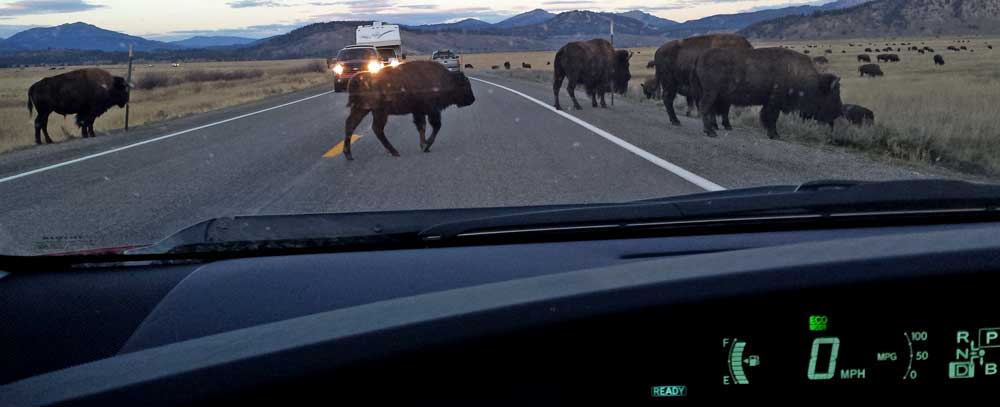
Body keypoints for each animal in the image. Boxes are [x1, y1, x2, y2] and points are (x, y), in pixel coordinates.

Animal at [344, 60, 476, 161]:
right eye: (465, 85)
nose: (472, 99)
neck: (445, 79)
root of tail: (356, 79)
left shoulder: (419, 112)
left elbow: (422, 127)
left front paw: (423, 145)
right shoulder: (432, 110)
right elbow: (436, 126)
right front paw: (426, 146)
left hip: (362, 109)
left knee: (351, 125)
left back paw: (349, 155)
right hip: (379, 112)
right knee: (376, 129)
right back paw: (394, 152)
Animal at [696, 47, 844, 139]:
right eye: (833, 95)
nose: (838, 112)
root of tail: (702, 57)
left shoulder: (769, 103)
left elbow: (768, 117)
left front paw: (772, 134)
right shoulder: (774, 103)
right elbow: (771, 118)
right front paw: (775, 135)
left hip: (715, 95)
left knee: (710, 110)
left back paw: (714, 129)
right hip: (711, 93)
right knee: (704, 108)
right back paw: (710, 132)